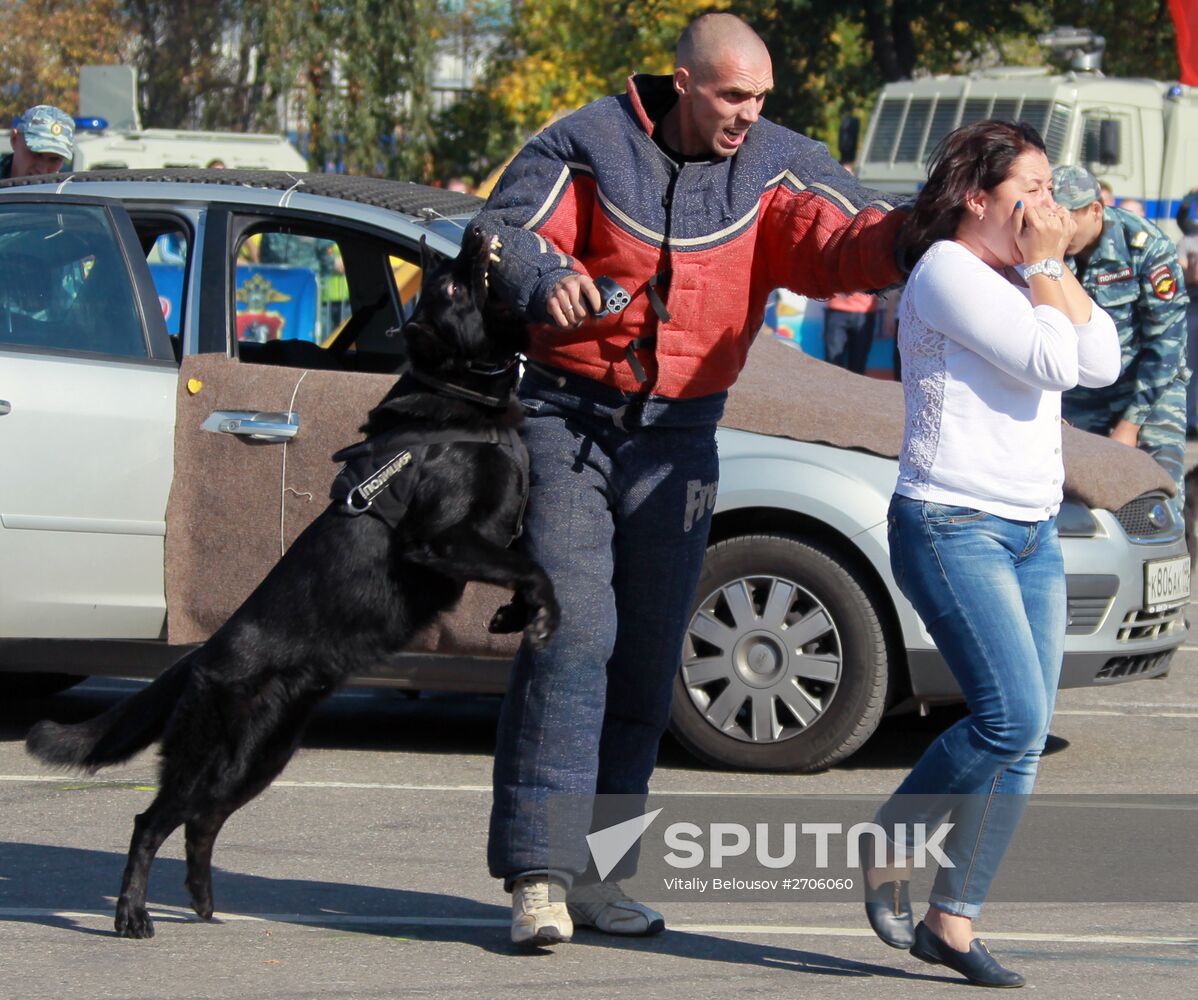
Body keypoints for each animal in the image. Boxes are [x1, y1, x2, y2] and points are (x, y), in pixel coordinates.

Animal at [23, 225, 555, 938]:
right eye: (449, 284)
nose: (474, 230)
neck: (462, 406)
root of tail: (198, 658)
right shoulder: (444, 540)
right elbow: (536, 568)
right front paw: (540, 613)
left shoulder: (497, 534)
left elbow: (528, 560)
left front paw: (514, 615)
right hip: (214, 756)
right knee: (151, 821)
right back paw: (133, 914)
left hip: (261, 757)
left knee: (200, 822)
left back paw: (203, 902)